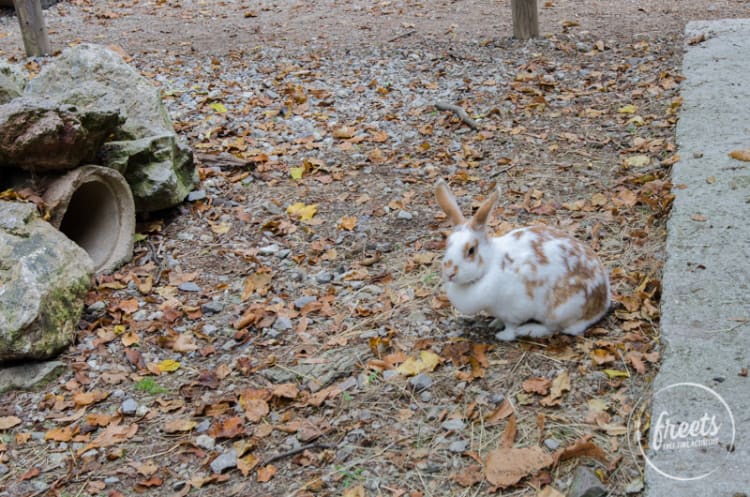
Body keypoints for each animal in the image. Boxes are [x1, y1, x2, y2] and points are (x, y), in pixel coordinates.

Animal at [434, 179, 612, 340]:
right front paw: (495, 324)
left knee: (555, 328)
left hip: (560, 310)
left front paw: (503, 335)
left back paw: (529, 330)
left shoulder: (515, 309)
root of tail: (602, 304)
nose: (449, 273)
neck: (489, 266)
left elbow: (511, 326)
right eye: (447, 244)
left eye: (471, 250)